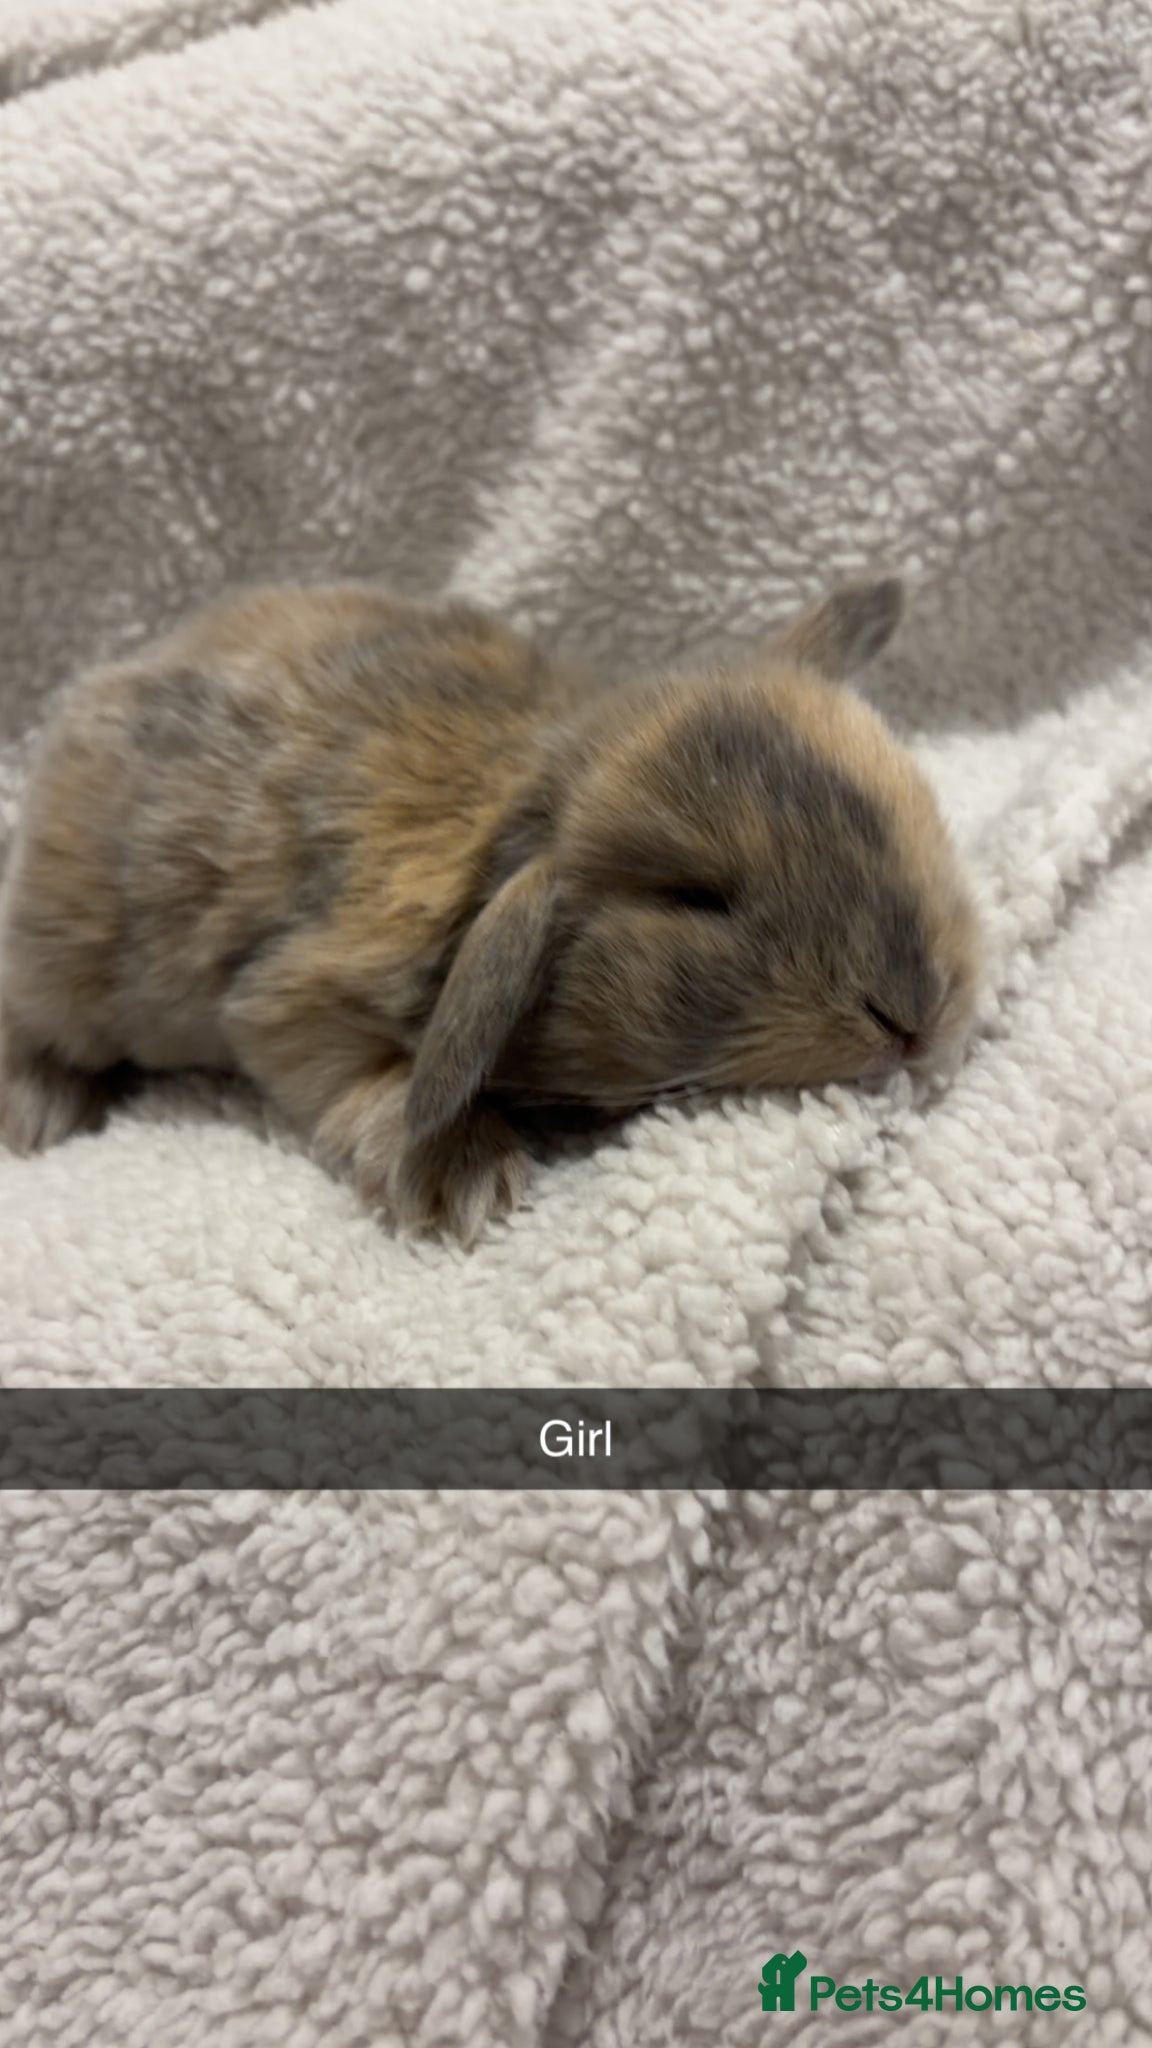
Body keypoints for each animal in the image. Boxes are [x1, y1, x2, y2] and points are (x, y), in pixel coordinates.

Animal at [0, 576, 979, 1242]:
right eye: (694, 897)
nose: (918, 1016)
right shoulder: (285, 999)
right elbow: (359, 1077)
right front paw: (461, 1180)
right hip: (67, 973)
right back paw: (37, 1114)